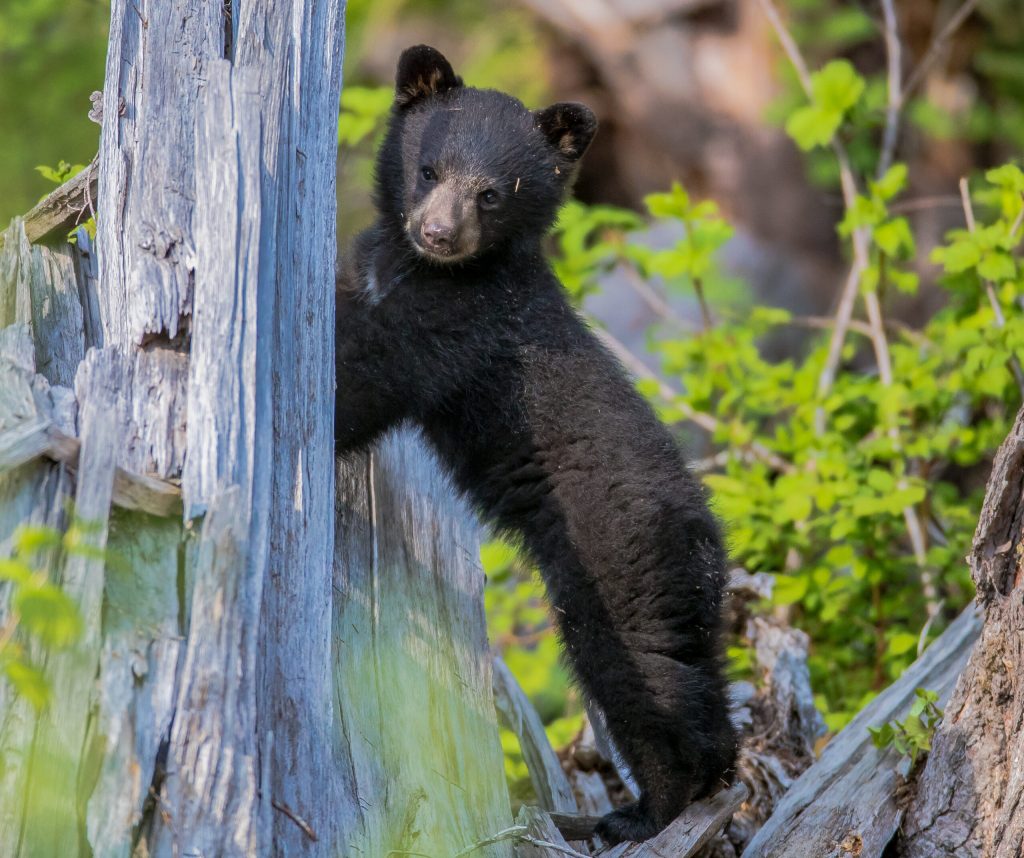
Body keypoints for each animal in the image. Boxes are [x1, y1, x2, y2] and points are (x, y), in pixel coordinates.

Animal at [334, 45, 738, 844]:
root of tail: (711, 540)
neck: (429, 270)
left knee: (646, 680)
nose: (438, 232)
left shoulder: (458, 325)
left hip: (617, 571)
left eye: (492, 193)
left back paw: (640, 811)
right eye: (428, 169)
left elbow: (371, 376)